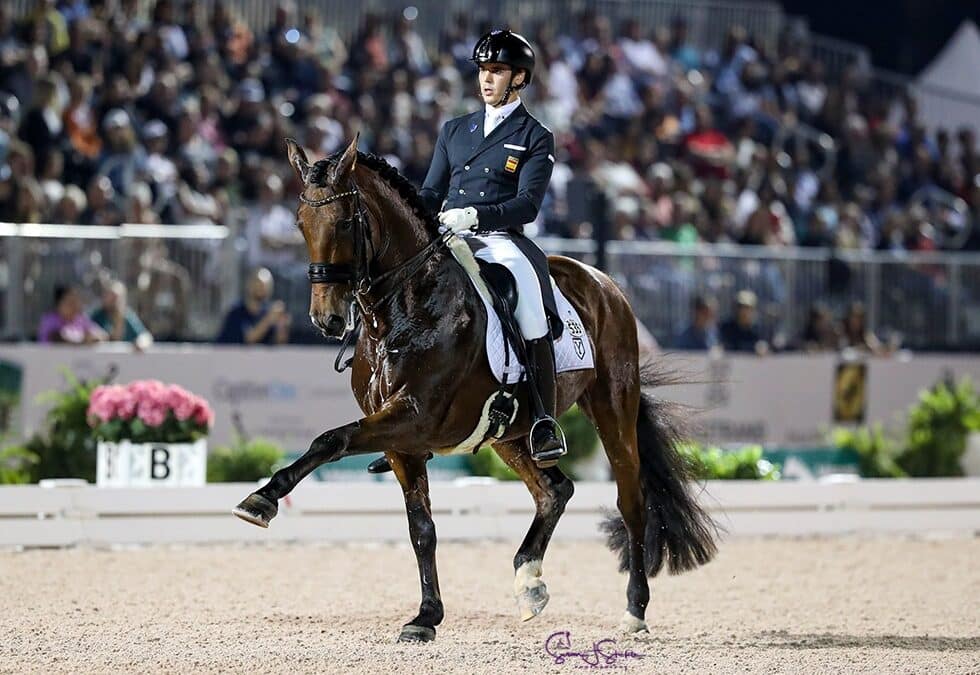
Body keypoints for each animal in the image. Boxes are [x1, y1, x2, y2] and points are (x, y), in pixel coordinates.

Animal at [234, 135, 716, 640]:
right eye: (300, 223)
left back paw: (634, 611)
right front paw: (426, 617)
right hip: (511, 433)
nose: (325, 319)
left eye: (345, 221)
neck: (402, 310)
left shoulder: (415, 417)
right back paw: (529, 583)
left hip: (611, 405)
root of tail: (602, 282)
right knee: (554, 491)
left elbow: (332, 439)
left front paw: (261, 499)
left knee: (631, 501)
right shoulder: (402, 440)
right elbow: (421, 529)